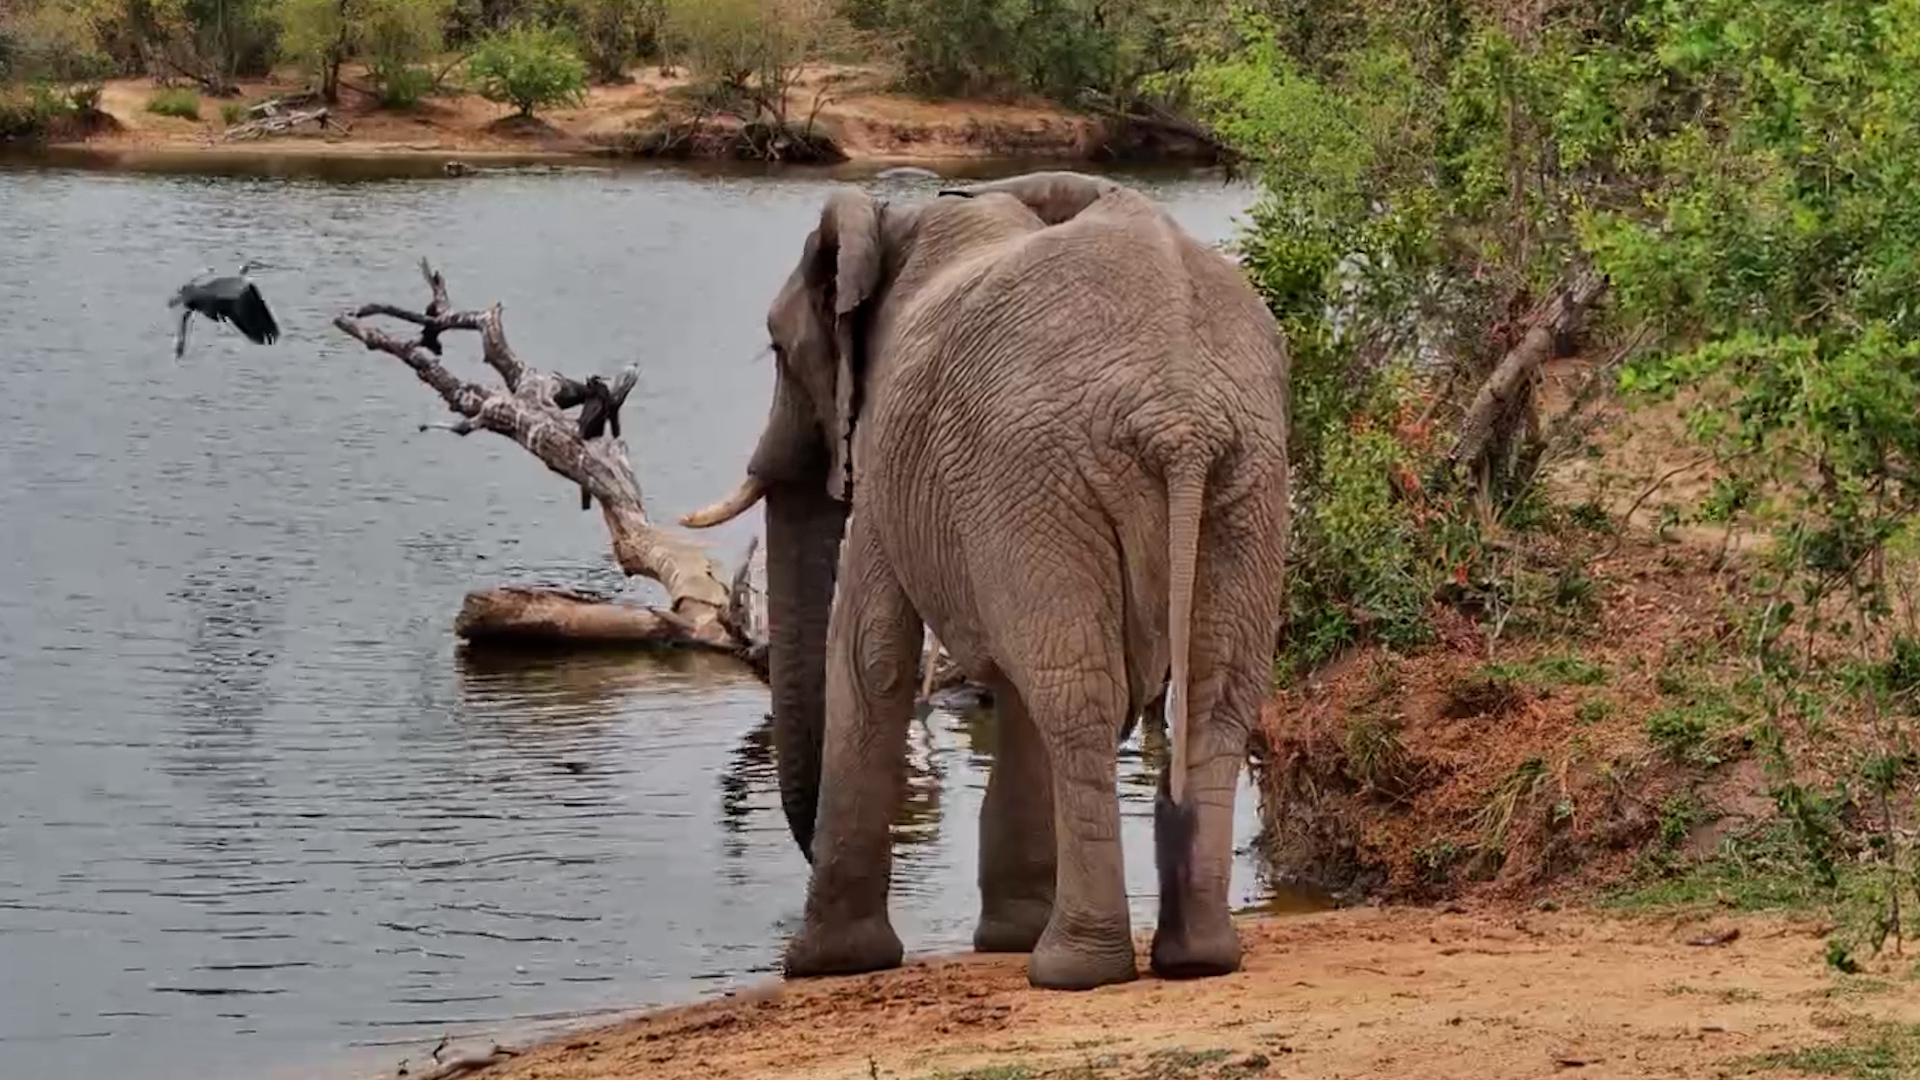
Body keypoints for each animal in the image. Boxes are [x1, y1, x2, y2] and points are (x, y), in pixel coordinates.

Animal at [681, 170, 1291, 991]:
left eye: (778, 348)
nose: (800, 845)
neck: (904, 220)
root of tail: (1180, 423)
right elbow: (997, 676)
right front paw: (1004, 936)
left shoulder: (895, 452)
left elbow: (870, 653)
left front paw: (823, 966)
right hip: (1243, 479)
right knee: (1213, 698)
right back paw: (1196, 960)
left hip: (1051, 474)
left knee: (1076, 695)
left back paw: (1071, 971)